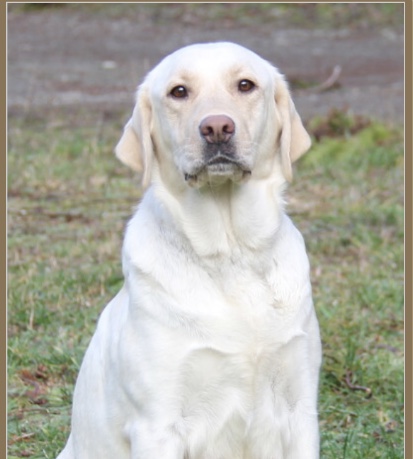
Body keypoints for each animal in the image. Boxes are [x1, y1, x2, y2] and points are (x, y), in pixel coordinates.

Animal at [56, 42, 320, 459]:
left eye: (245, 85)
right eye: (179, 91)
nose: (217, 128)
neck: (231, 254)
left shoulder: (299, 410)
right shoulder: (158, 424)